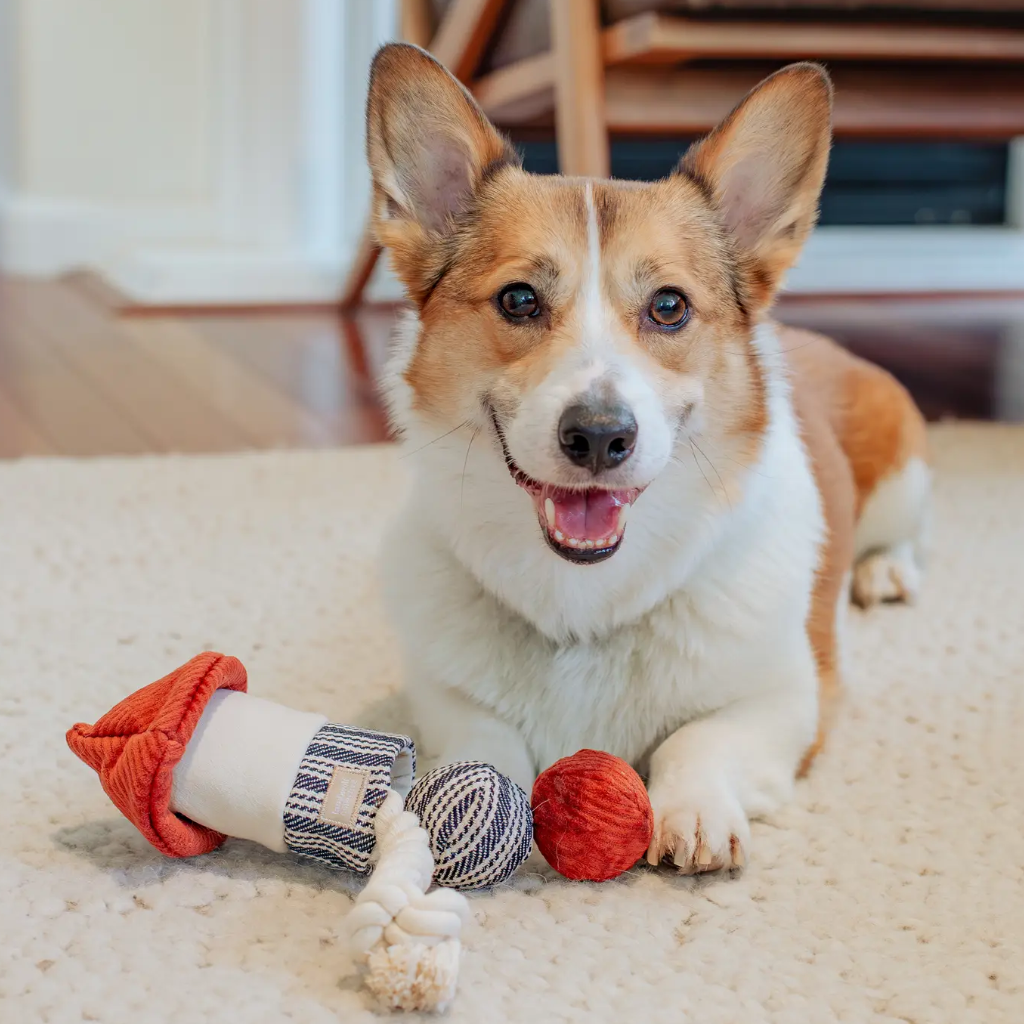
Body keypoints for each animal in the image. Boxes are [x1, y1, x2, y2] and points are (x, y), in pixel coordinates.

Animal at [366, 41, 929, 872]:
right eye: (519, 300)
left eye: (669, 306)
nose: (599, 435)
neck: (587, 601)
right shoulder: (443, 699)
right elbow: (484, 744)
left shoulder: (788, 698)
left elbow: (698, 739)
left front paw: (693, 812)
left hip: (902, 478)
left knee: (905, 536)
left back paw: (884, 570)